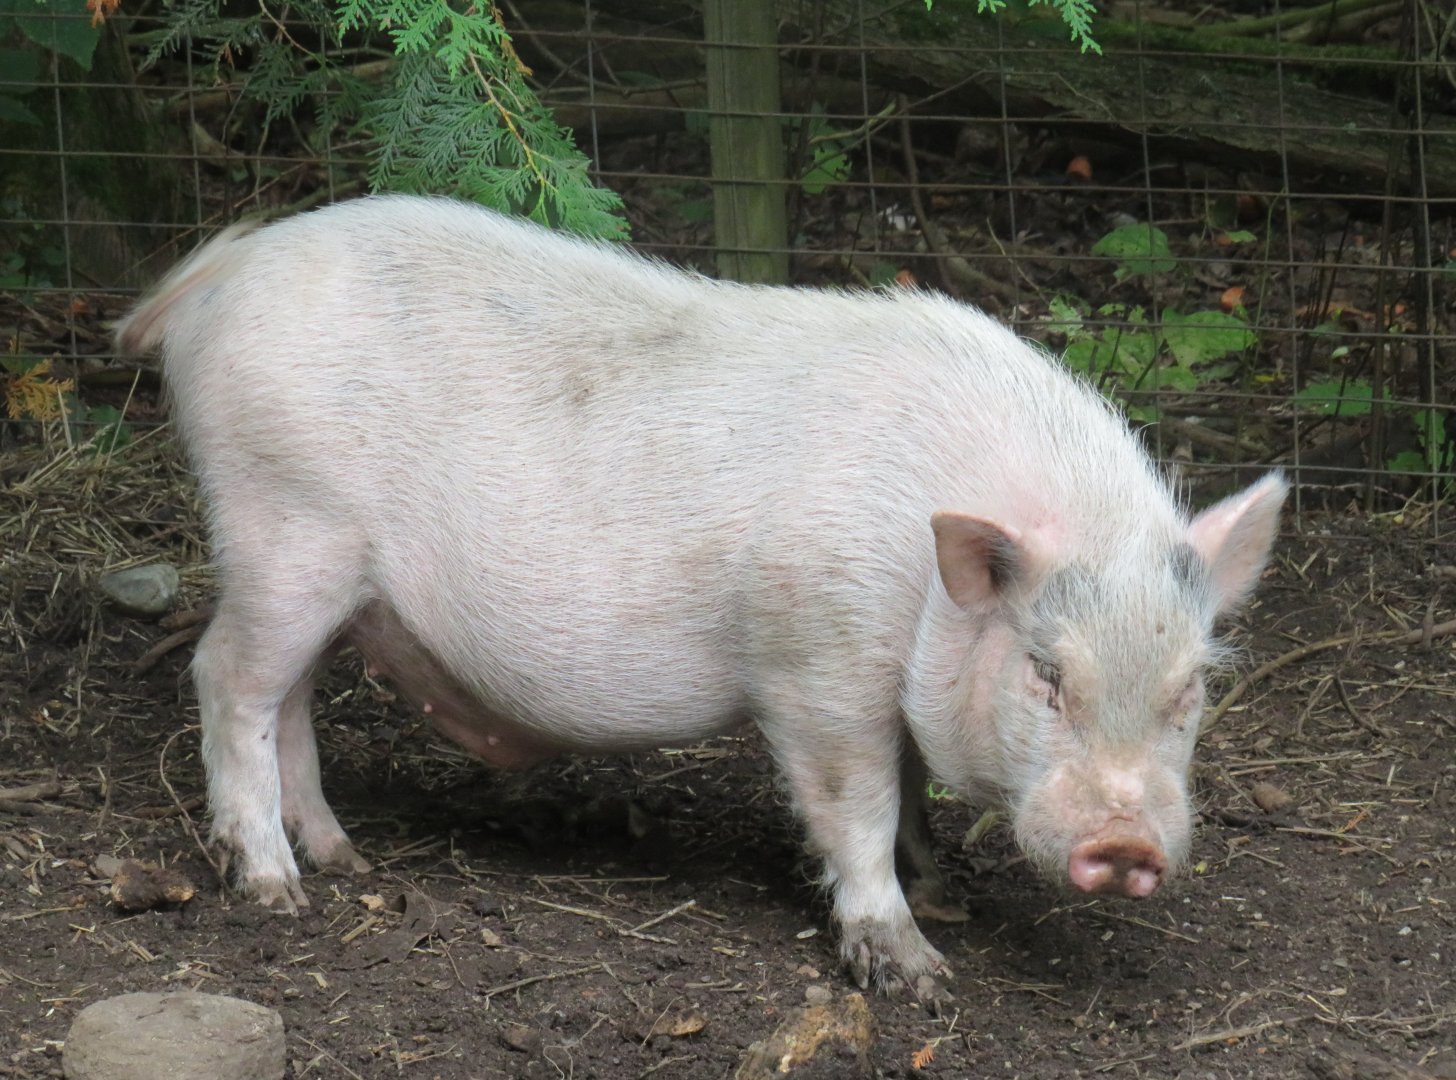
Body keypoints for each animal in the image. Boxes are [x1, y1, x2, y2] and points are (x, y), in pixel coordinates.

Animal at [116, 194, 1286, 996]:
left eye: (1190, 688)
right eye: (1046, 674)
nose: (1127, 848)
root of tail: (221, 271)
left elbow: (910, 785)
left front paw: (946, 890)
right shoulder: (816, 666)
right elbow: (857, 802)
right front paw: (916, 972)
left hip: (324, 571)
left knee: (292, 703)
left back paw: (342, 855)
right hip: (280, 527)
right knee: (227, 678)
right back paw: (274, 890)